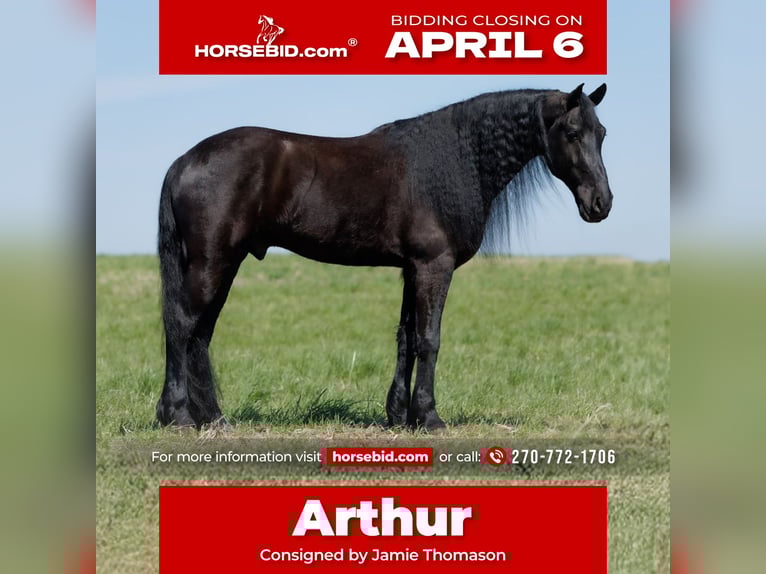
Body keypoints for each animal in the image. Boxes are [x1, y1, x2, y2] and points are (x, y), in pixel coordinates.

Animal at [156, 83, 612, 431]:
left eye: (602, 133)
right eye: (573, 132)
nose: (601, 204)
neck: (455, 158)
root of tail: (183, 162)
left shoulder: (412, 269)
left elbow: (406, 338)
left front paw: (398, 415)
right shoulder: (433, 266)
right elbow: (429, 340)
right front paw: (429, 417)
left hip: (224, 264)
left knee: (200, 334)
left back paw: (213, 418)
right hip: (212, 263)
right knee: (182, 326)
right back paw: (178, 417)